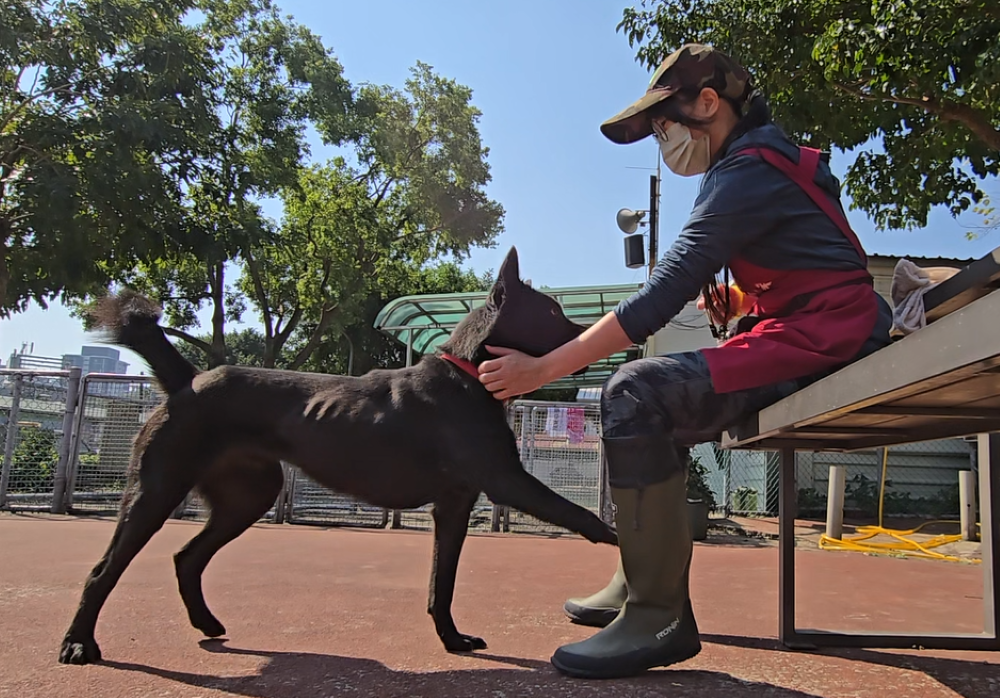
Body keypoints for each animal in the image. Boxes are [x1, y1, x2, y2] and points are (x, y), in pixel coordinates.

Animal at [60, 246, 616, 664]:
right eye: (552, 312)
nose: (597, 343)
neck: (467, 374)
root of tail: (188, 381)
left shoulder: (454, 506)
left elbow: (443, 582)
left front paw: (451, 640)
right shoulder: (506, 480)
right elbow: (584, 516)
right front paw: (619, 544)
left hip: (248, 495)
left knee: (187, 557)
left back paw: (206, 622)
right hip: (155, 492)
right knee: (103, 570)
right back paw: (79, 643)